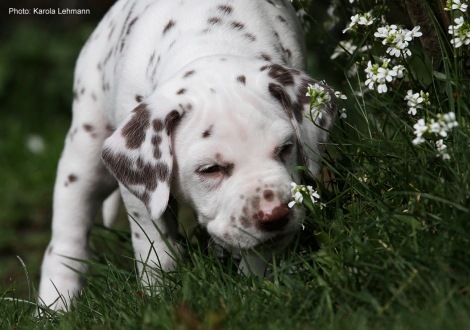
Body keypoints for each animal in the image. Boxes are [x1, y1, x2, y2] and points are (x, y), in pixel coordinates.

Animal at [38, 0, 336, 310]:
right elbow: (156, 247)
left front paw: (254, 289)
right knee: (66, 238)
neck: (208, 38)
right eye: (210, 169)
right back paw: (55, 305)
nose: (274, 215)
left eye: (286, 148)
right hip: (85, 152)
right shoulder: (141, 195)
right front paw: (158, 298)